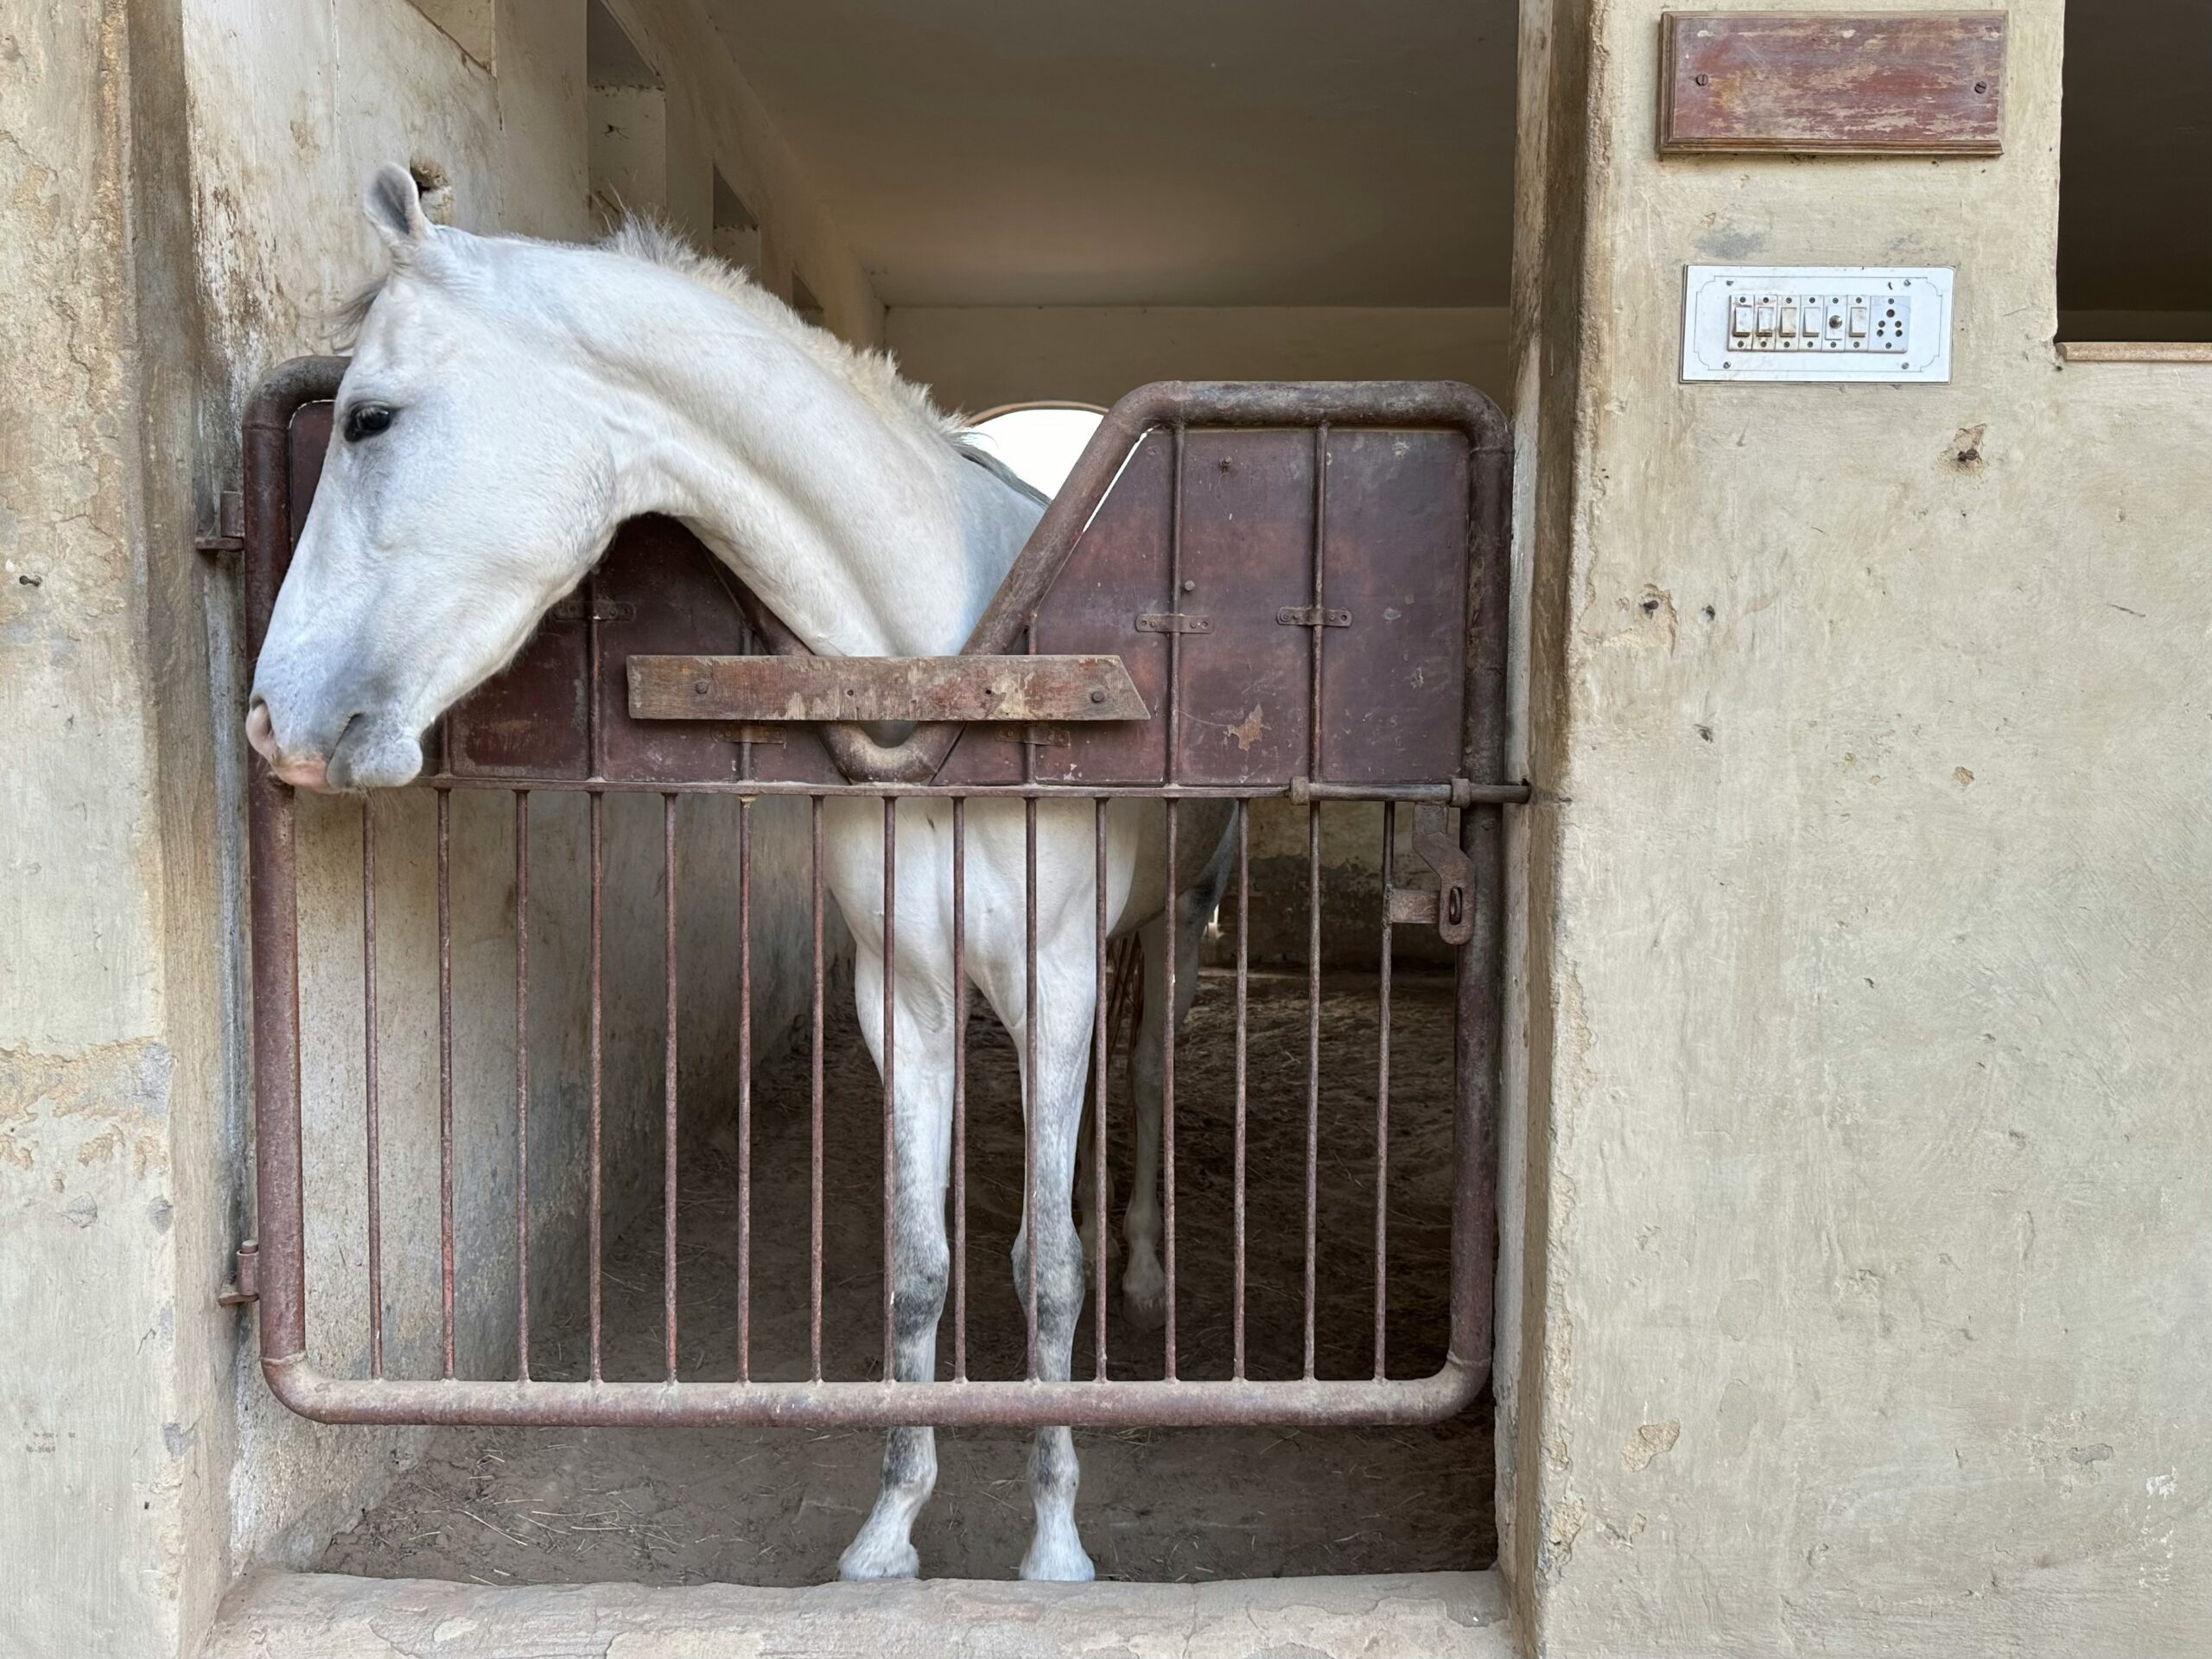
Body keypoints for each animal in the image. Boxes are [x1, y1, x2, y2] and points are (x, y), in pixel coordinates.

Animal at [245, 164, 1234, 1582]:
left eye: (371, 420)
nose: (275, 719)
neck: (944, 680)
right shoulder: (902, 990)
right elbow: (920, 1263)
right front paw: (889, 1532)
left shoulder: (1048, 979)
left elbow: (1047, 1266)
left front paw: (1054, 1547)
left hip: (1180, 919)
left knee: (1146, 1082)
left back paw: (1149, 1266)